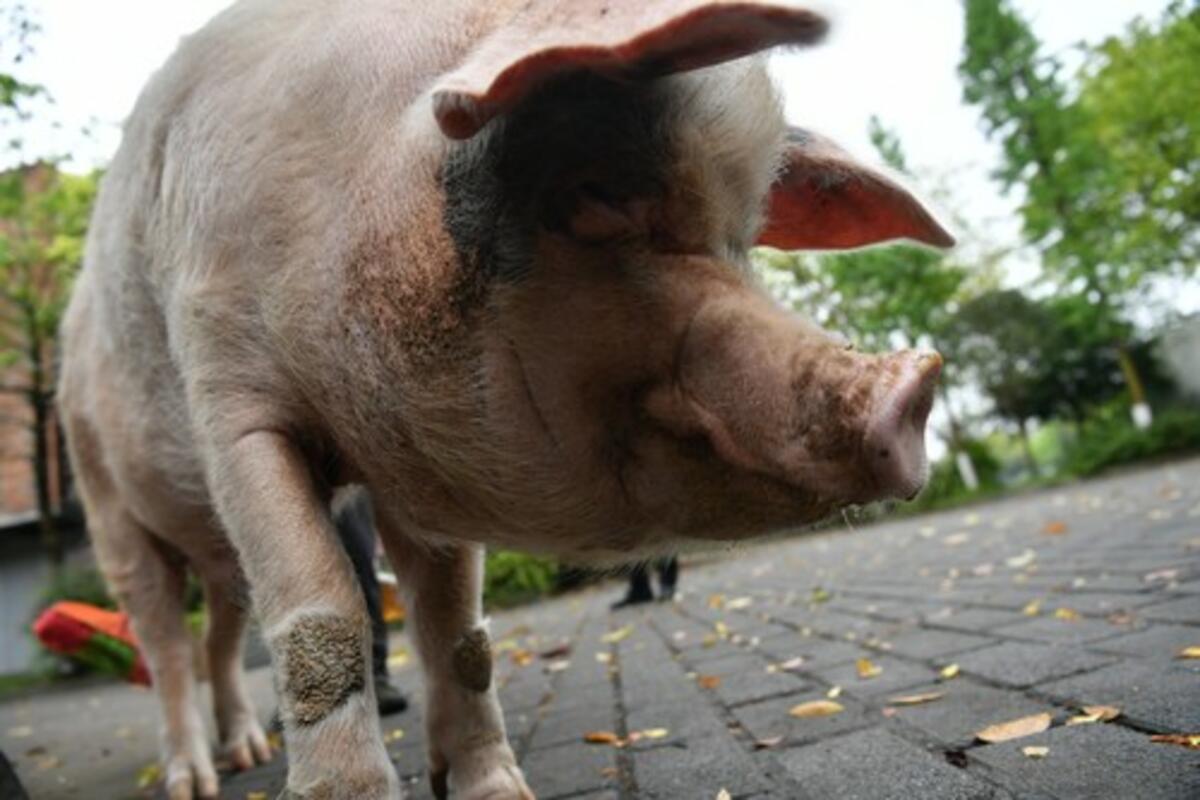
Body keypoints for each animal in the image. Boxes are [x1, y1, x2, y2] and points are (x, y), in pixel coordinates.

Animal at [57, 1, 951, 798]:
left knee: (219, 630)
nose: (913, 387)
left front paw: (496, 791)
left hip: (208, 551)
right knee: (166, 641)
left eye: (743, 235)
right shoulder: (228, 397)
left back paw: (246, 752)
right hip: (104, 499)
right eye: (592, 190)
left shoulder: (421, 465)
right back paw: (194, 781)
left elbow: (459, 632)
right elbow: (324, 611)